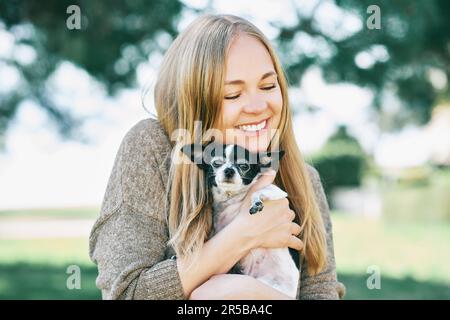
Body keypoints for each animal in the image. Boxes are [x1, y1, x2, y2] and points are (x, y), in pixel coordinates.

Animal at [179, 142, 298, 298]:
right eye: (217, 163)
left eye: (244, 166)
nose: (229, 170)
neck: (231, 197)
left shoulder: (278, 192)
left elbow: (257, 191)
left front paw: (256, 202)